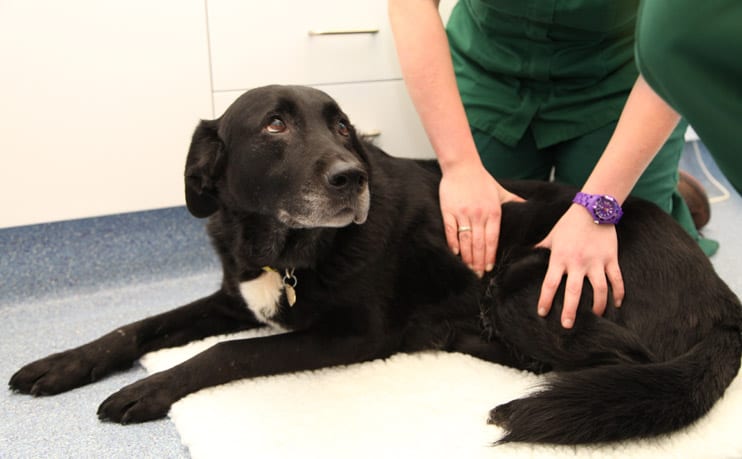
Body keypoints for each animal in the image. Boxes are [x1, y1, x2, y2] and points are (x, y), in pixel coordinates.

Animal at [8, 85, 740, 446]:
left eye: (342, 127)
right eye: (274, 124)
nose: (350, 177)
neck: (286, 248)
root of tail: (725, 304)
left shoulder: (352, 335)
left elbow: (226, 353)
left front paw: (150, 389)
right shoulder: (234, 297)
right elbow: (135, 326)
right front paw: (61, 364)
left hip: (525, 281)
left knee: (618, 363)